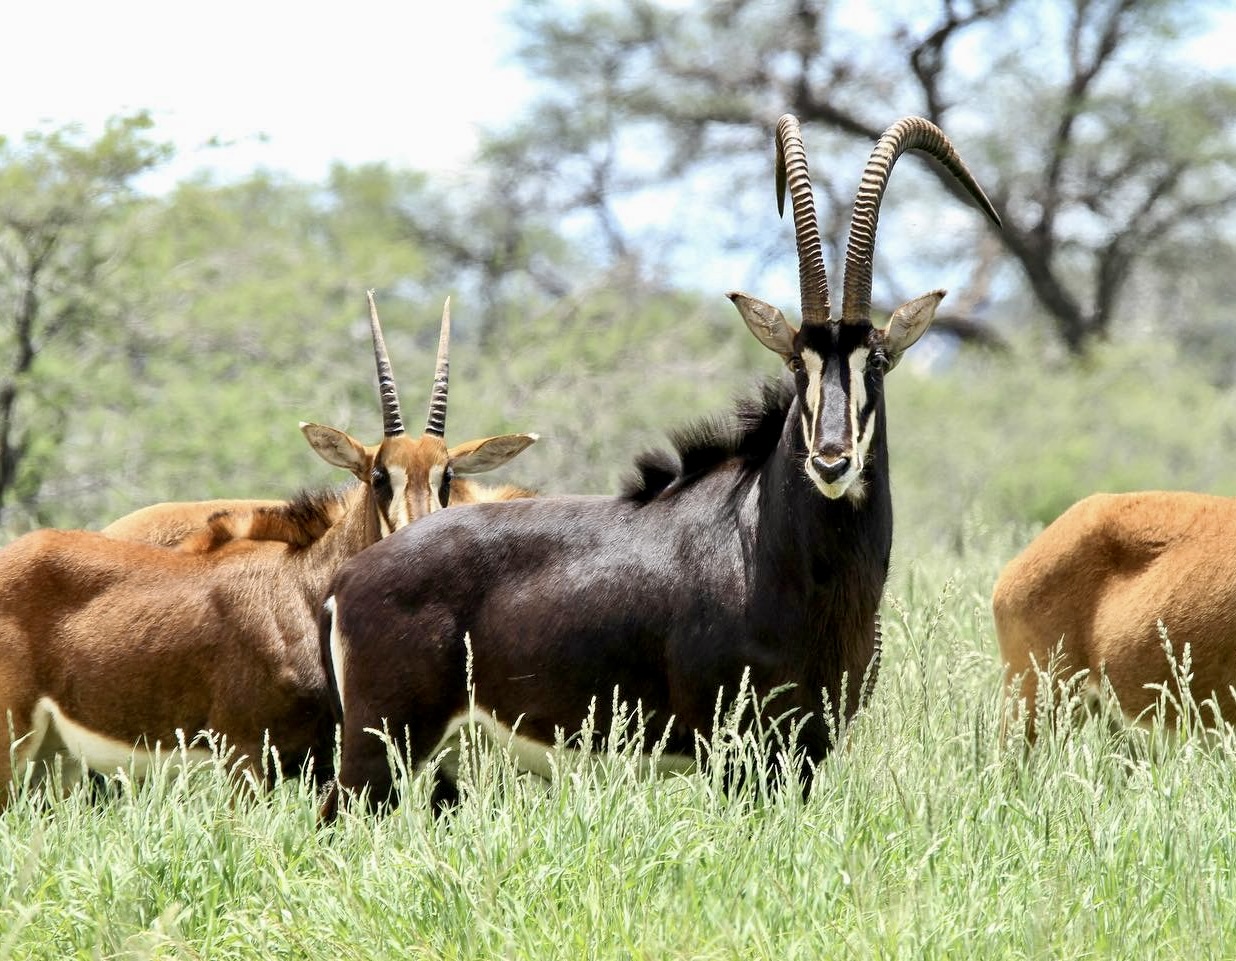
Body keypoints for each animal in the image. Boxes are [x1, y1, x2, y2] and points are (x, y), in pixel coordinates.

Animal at [0, 293, 536, 800]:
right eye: (380, 475)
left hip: (53, 760)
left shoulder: (317, 762)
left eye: (447, 477)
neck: (301, 590)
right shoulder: (244, 755)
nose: (421, 539)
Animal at [313, 114, 998, 815]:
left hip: (438, 766)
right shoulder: (735, 754)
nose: (831, 459)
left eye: (876, 362)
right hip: (378, 751)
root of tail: (348, 580)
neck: (766, 545)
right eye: (795, 363)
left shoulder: (805, 751)